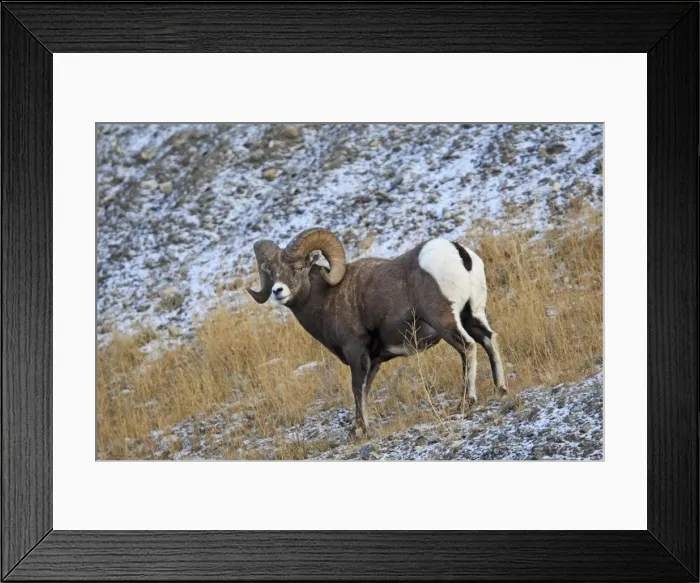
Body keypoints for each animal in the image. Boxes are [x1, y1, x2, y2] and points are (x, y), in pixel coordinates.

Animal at [247, 228, 507, 438]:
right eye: (271, 272)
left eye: (299, 267)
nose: (278, 291)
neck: (327, 298)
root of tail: (459, 252)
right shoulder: (374, 361)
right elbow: (365, 390)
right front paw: (359, 428)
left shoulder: (356, 353)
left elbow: (357, 389)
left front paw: (361, 431)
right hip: (472, 314)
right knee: (489, 339)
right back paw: (501, 388)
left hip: (446, 320)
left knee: (468, 347)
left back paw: (466, 402)